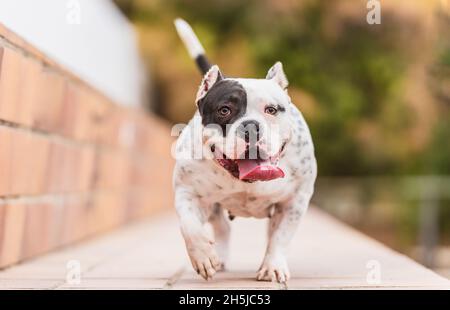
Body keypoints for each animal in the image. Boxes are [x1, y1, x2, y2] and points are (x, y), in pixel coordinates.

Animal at [172, 18, 316, 282]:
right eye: (224, 110)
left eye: (272, 110)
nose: (251, 126)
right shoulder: (188, 192)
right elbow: (189, 225)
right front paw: (203, 256)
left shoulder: (294, 201)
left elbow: (281, 236)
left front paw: (272, 266)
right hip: (213, 206)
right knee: (222, 228)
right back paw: (218, 257)